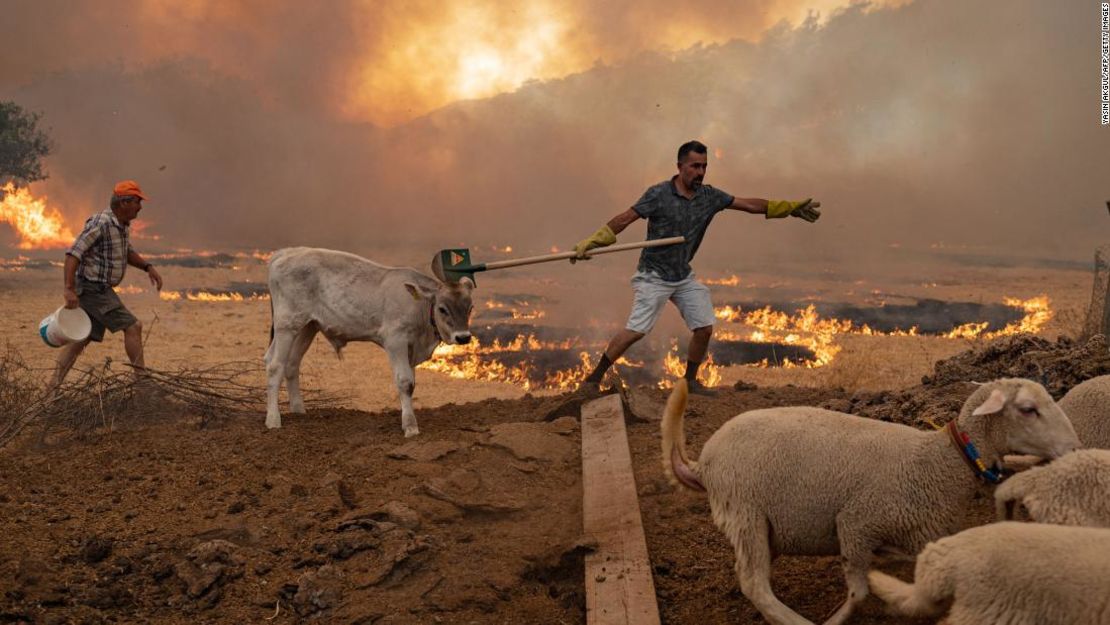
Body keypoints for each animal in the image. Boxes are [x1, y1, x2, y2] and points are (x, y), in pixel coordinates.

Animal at [264, 247, 472, 437]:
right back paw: (273, 419)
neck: (418, 306)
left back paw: (298, 410)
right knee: (275, 366)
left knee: (290, 363)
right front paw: (410, 426)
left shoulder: (411, 349)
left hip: (307, 327)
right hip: (287, 325)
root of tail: (285, 253)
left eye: (470, 308)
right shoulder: (395, 341)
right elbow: (404, 382)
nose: (463, 337)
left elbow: (412, 384)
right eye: (442, 308)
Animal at [661, 377, 1078, 625]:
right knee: (754, 583)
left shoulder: (919, 532)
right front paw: (837, 619)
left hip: (760, 524)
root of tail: (704, 463)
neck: (938, 461)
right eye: (1028, 409)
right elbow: (858, 594)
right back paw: (795, 621)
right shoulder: (856, 523)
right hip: (745, 510)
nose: (1074, 448)